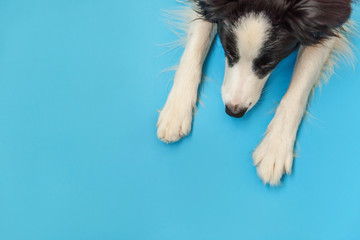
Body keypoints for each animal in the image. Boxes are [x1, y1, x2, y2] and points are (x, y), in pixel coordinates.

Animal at [157, 0, 354, 186]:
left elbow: (300, 85)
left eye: (269, 63)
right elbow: (195, 45)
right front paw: (176, 109)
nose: (233, 111)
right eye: (229, 51)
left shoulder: (327, 21)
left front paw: (275, 147)